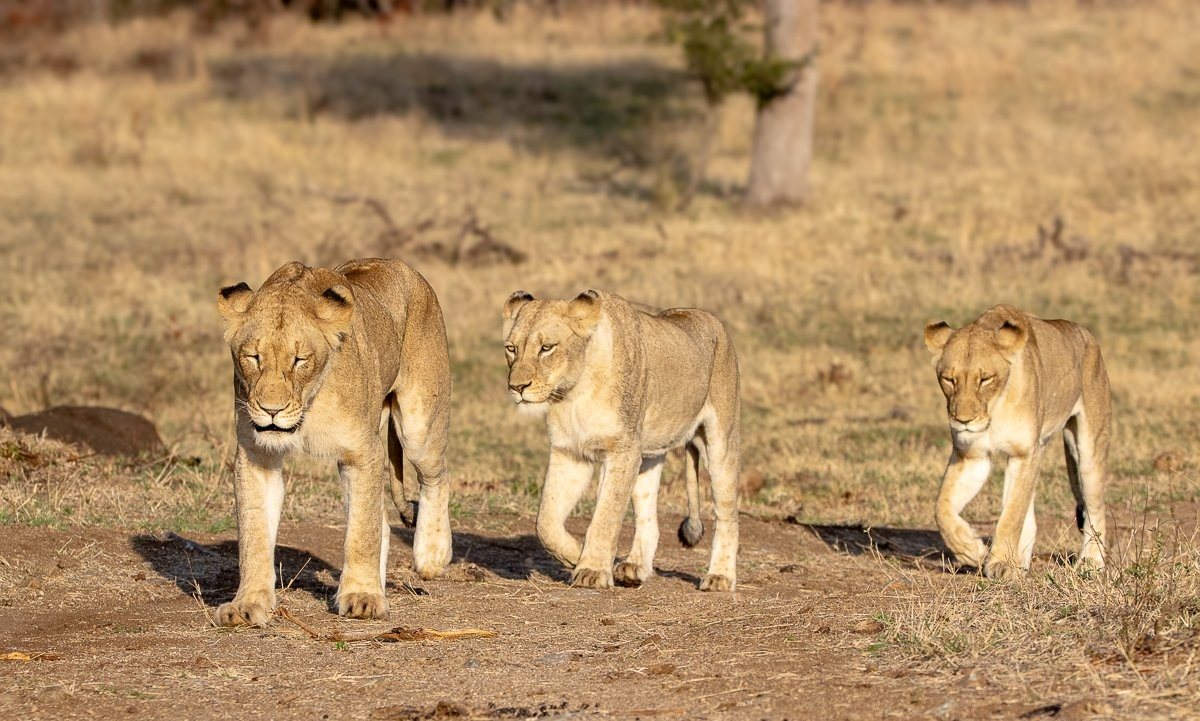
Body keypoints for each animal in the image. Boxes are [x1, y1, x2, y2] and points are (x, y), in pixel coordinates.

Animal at [214, 258, 452, 626]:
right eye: (252, 357)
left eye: (299, 360)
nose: (271, 410)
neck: (307, 410)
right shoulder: (256, 457)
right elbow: (253, 535)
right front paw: (247, 604)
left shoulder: (363, 453)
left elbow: (362, 532)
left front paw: (363, 598)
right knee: (383, 522)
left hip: (419, 427)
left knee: (437, 476)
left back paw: (432, 555)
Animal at [502, 289, 741, 591]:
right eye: (511, 348)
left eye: (547, 348)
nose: (517, 387)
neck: (574, 392)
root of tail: (709, 317)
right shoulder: (569, 453)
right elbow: (545, 521)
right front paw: (575, 556)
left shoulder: (622, 451)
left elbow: (606, 515)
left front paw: (591, 570)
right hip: (648, 456)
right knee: (649, 517)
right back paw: (633, 568)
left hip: (721, 441)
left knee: (728, 515)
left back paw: (720, 576)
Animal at [924, 304, 1111, 580]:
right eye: (949, 379)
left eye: (985, 379)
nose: (963, 421)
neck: (994, 411)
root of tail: (1087, 334)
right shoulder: (973, 457)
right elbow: (942, 508)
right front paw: (973, 552)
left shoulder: (1024, 454)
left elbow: (1011, 516)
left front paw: (1001, 563)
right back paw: (1020, 564)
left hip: (1088, 450)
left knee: (1095, 507)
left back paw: (1091, 563)